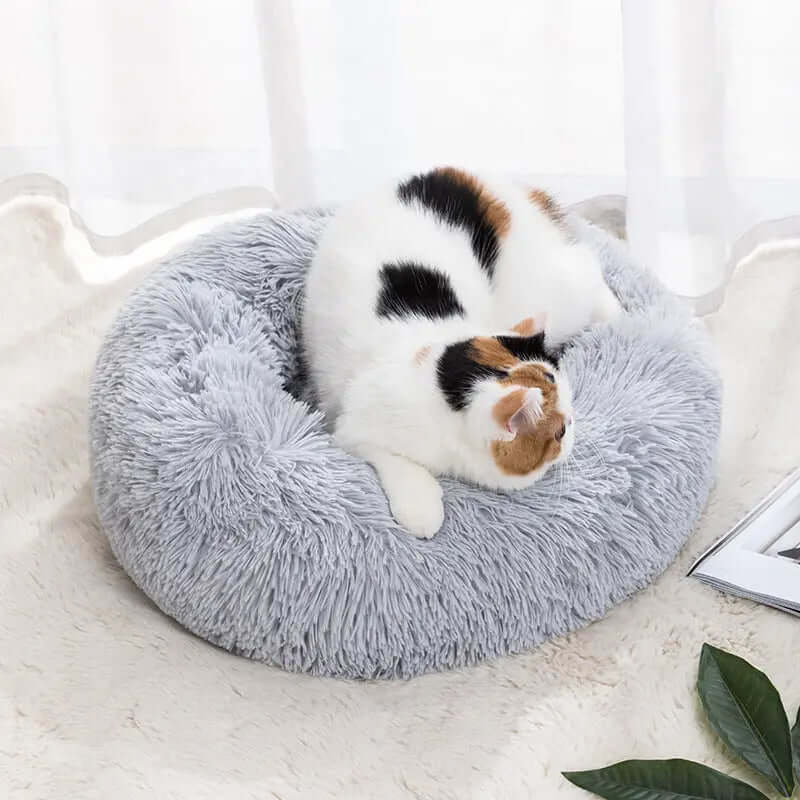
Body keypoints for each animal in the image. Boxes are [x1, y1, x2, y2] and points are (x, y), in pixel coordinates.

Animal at [304, 169, 620, 544]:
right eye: (558, 432)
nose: (573, 424)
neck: (438, 381)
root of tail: (493, 185)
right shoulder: (350, 430)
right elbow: (394, 460)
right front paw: (422, 508)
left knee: (586, 265)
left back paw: (618, 316)